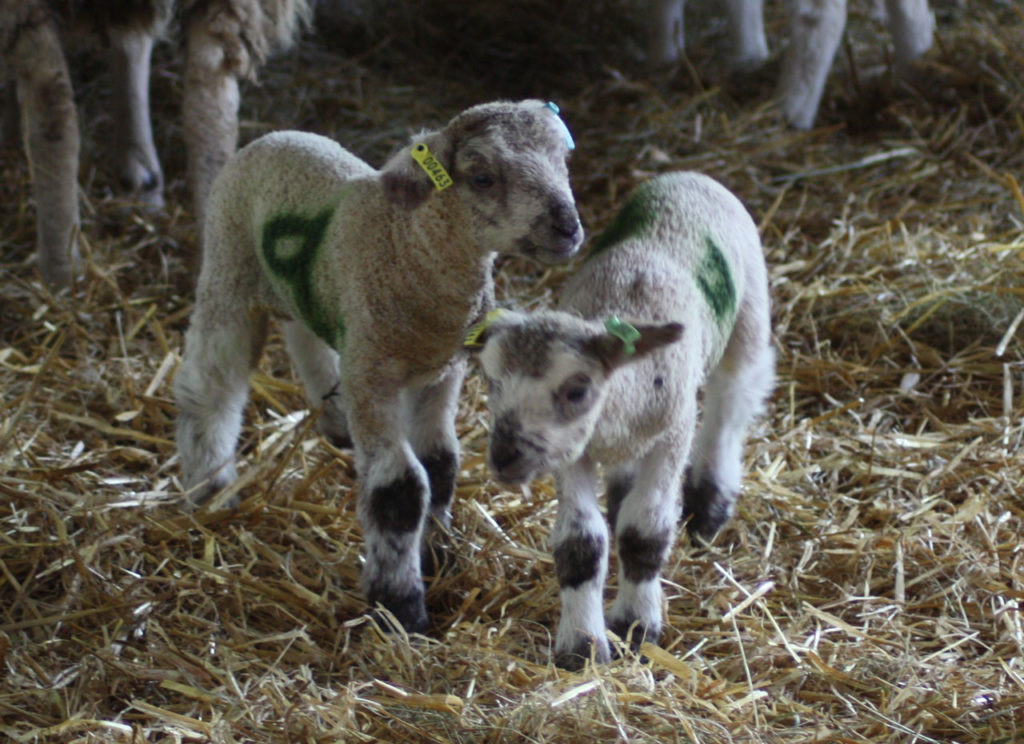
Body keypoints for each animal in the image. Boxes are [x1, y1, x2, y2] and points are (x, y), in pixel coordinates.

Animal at [176, 97, 585, 634]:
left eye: (564, 159)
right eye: (482, 177)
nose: (568, 227)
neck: (407, 247)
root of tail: (276, 135)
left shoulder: (442, 369)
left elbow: (441, 463)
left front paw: (438, 554)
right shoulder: (374, 375)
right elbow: (400, 488)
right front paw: (401, 605)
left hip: (310, 292)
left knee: (304, 331)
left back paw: (333, 421)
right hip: (230, 269)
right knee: (212, 382)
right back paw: (210, 486)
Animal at [468, 169, 770, 671]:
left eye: (576, 390)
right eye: (491, 381)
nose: (505, 457)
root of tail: (687, 176)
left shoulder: (673, 432)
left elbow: (645, 530)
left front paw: (637, 626)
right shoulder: (573, 452)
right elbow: (581, 543)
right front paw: (582, 645)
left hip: (749, 310)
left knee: (733, 398)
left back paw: (710, 503)